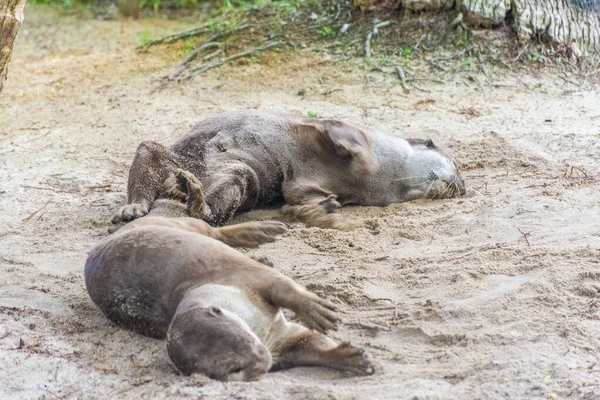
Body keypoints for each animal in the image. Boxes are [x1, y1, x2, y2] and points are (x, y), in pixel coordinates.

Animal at [84, 217, 376, 380]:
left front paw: (318, 311)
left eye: (242, 340)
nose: (260, 362)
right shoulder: (281, 340)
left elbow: (283, 286)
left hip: (180, 224)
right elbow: (309, 345)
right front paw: (349, 358)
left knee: (214, 231)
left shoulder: (243, 277)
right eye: (234, 370)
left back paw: (267, 230)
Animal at [111, 109, 464, 228]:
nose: (464, 185)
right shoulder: (328, 129)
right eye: (457, 166)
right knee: (148, 150)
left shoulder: (304, 183)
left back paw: (188, 197)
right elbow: (342, 133)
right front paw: (361, 156)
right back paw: (132, 208)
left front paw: (322, 208)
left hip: (240, 175)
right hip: (180, 153)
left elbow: (297, 194)